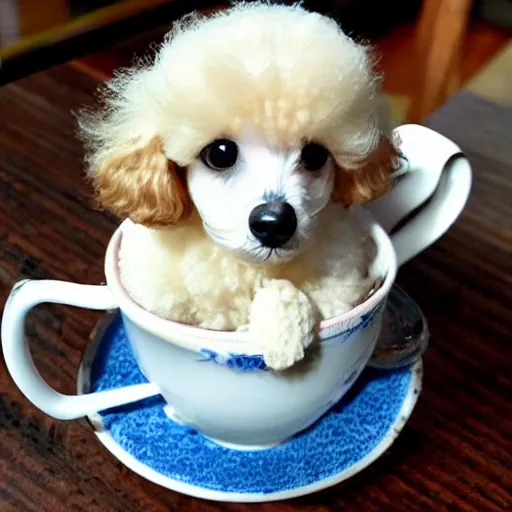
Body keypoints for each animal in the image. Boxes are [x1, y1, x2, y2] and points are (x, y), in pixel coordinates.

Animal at [80, 3, 400, 372]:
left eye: (316, 155)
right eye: (220, 153)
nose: (274, 224)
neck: (249, 269)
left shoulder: (340, 289)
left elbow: (290, 292)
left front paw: (281, 336)